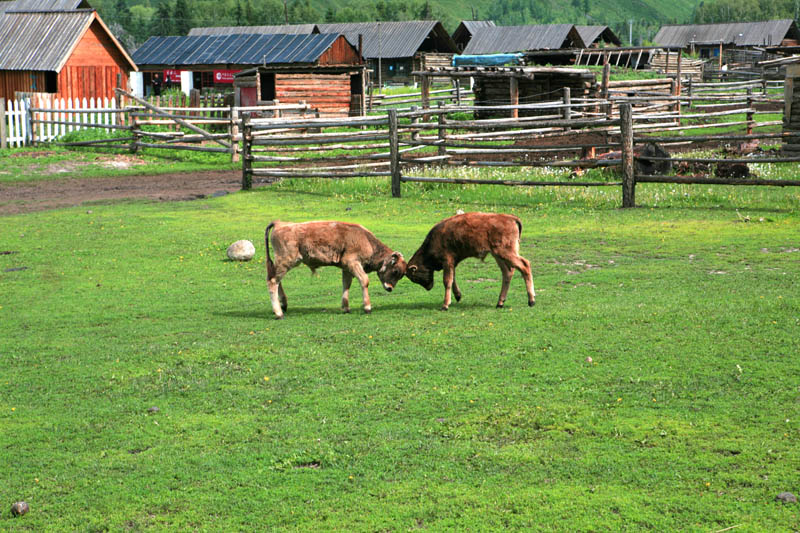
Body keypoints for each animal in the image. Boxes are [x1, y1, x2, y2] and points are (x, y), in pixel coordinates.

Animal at [266, 218, 406, 318]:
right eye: (395, 271)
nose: (390, 288)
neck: (366, 240)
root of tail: (279, 223)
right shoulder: (352, 263)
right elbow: (364, 281)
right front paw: (367, 307)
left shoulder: (346, 268)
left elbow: (346, 284)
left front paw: (346, 308)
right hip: (287, 261)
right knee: (273, 282)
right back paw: (279, 313)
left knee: (277, 281)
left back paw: (283, 305)